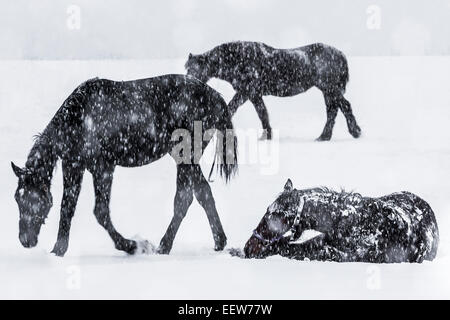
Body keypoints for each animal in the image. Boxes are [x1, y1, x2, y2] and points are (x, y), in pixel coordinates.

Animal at [10, 74, 237, 256]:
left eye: (37, 200)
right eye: (17, 198)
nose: (25, 240)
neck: (78, 118)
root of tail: (217, 99)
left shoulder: (103, 168)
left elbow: (100, 212)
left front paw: (132, 245)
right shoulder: (73, 166)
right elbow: (67, 207)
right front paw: (58, 250)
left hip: (185, 156)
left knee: (186, 197)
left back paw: (165, 245)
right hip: (184, 157)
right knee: (200, 193)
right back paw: (217, 241)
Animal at [186, 41, 362, 140]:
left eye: (196, 69)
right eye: (187, 67)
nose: (188, 82)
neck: (238, 59)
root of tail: (340, 54)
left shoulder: (246, 92)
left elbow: (232, 108)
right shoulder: (253, 94)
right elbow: (262, 113)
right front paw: (267, 135)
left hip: (330, 89)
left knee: (343, 106)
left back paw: (354, 132)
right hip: (328, 91)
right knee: (333, 110)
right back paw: (325, 136)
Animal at [239, 179, 440, 264]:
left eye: (274, 214)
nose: (249, 247)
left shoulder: (348, 255)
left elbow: (296, 250)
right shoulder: (321, 239)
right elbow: (289, 245)